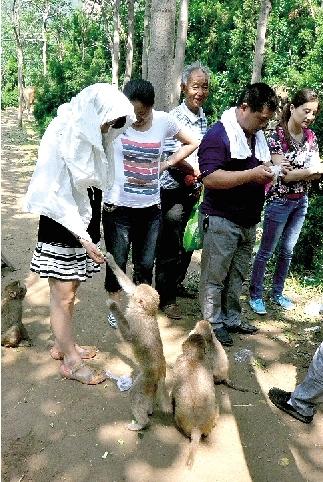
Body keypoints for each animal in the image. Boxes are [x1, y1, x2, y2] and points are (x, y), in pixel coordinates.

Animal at [105, 252, 172, 430]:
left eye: (137, 296)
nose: (135, 293)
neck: (146, 312)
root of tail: (161, 370)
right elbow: (127, 285)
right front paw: (110, 259)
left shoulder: (136, 322)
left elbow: (128, 335)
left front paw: (114, 307)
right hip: (151, 384)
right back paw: (149, 411)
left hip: (146, 379)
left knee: (135, 395)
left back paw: (142, 423)